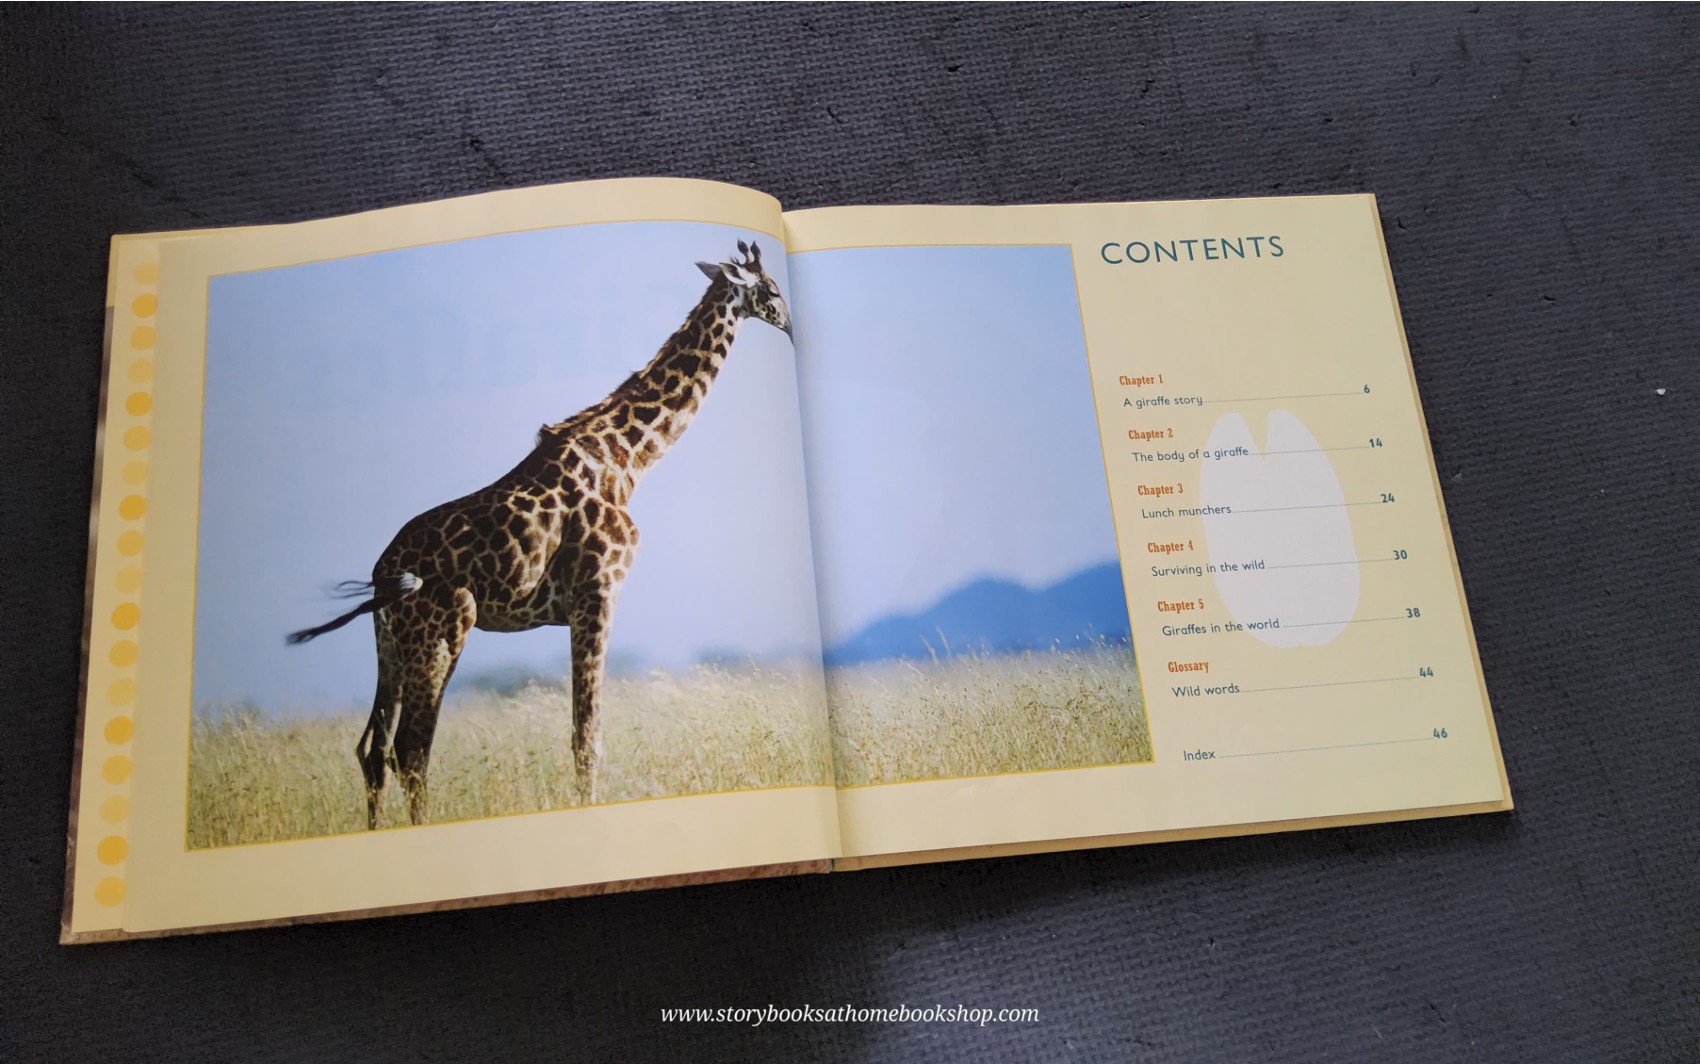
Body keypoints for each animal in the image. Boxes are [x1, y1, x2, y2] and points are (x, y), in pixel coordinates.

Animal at [286, 241, 792, 829]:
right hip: (443, 629)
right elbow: (587, 738)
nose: (792, 324)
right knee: (411, 749)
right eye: (772, 289)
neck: (629, 458)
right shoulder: (597, 593)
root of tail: (381, 573)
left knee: (374, 750)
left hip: (390, 644)